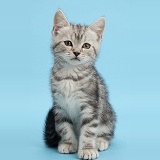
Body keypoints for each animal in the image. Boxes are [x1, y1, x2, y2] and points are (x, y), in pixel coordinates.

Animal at [44, 10, 115, 160]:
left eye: (86, 46)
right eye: (68, 43)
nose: (76, 52)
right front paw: (68, 143)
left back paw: (100, 141)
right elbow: (65, 127)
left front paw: (87, 149)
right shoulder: (60, 106)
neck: (70, 76)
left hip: (107, 113)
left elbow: (88, 130)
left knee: (107, 131)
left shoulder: (91, 106)